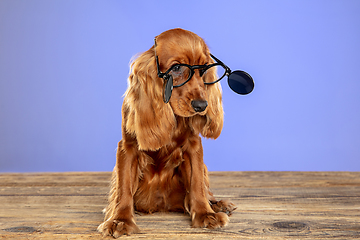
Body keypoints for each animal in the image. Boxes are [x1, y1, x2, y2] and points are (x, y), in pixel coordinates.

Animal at [97, 28, 236, 238]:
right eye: (176, 68)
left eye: (204, 70)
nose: (202, 105)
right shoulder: (127, 147)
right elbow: (123, 188)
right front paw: (119, 220)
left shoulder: (193, 146)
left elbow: (196, 184)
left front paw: (205, 213)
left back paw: (217, 204)